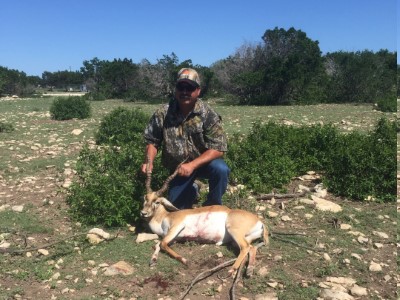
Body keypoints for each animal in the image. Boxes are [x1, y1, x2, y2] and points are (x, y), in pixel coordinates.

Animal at [140, 161, 268, 276]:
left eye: (157, 201)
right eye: (145, 198)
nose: (143, 213)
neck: (165, 216)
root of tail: (259, 221)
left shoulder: (176, 227)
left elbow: (162, 243)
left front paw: (185, 260)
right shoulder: (173, 237)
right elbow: (158, 244)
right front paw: (153, 260)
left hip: (234, 231)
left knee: (245, 247)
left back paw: (232, 270)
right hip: (239, 240)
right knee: (252, 248)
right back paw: (249, 270)